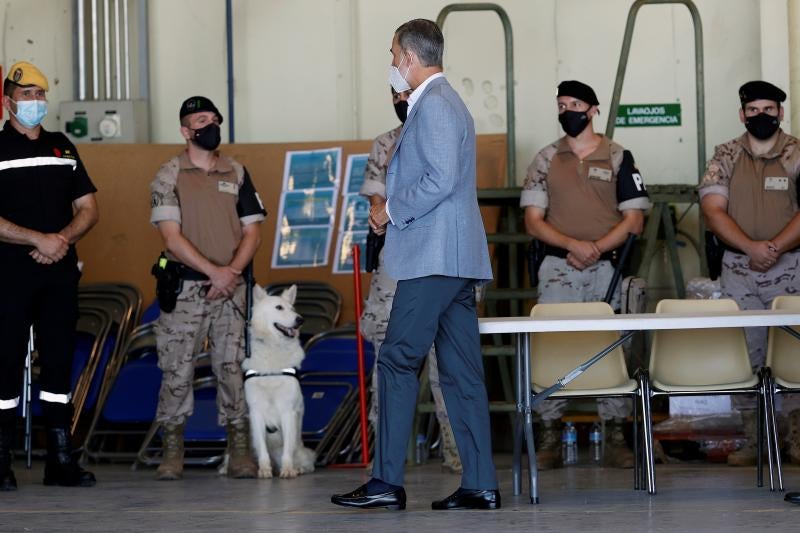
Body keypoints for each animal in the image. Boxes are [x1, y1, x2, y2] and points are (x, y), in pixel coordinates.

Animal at [241, 284, 316, 480]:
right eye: (279, 308)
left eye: (293, 309)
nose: (300, 320)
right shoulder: (256, 413)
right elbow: (262, 449)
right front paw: (264, 470)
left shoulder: (288, 412)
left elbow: (287, 450)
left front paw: (288, 469)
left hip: (302, 449)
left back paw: (297, 468)